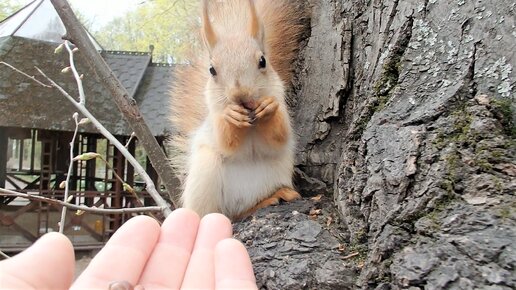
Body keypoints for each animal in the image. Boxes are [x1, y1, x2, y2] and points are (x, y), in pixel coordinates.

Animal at [169, 0, 306, 218]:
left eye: (263, 61)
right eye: (211, 70)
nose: (240, 95)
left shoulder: (281, 102)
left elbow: (279, 136)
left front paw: (268, 107)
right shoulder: (214, 120)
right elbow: (227, 142)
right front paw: (230, 115)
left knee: (244, 210)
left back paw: (273, 197)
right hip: (205, 175)